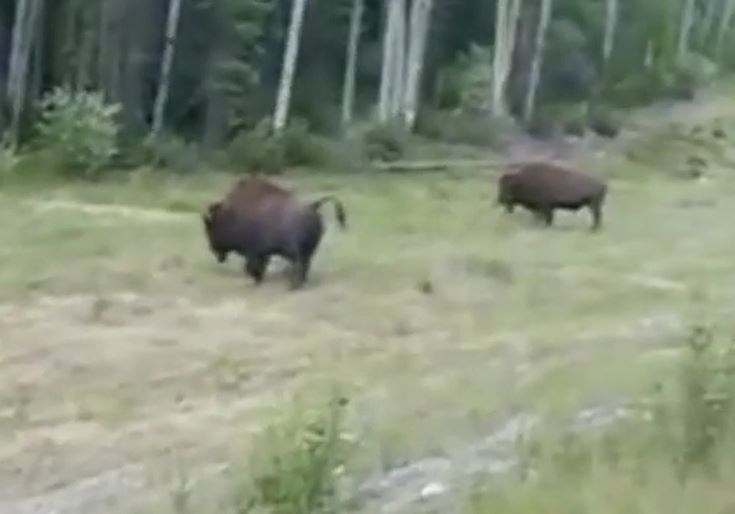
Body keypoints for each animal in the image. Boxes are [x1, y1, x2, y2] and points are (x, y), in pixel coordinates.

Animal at [202, 177, 347, 289]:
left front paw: (256, 279)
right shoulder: (262, 253)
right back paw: (300, 282)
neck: (231, 215)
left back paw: (292, 286)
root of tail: (312, 206)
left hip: (295, 250)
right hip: (309, 249)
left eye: (210, 228)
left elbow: (251, 267)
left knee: (299, 264)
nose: (212, 249)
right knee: (306, 264)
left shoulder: (253, 252)